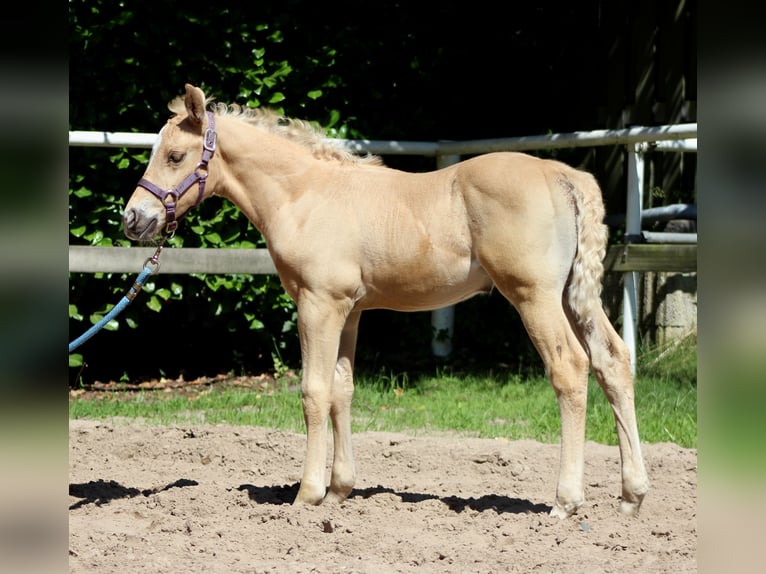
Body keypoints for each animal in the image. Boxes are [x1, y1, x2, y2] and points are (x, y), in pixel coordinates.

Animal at [123, 83, 649, 519]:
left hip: (534, 296)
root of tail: (563, 175)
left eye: (175, 155)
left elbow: (313, 392)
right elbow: (342, 391)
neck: (304, 194)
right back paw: (632, 494)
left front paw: (307, 495)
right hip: (573, 297)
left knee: (570, 369)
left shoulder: (318, 305)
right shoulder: (350, 311)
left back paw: (566, 500)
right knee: (613, 361)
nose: (134, 219)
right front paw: (340, 490)